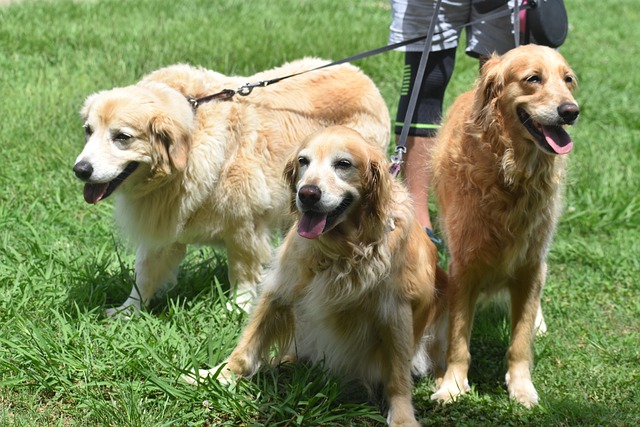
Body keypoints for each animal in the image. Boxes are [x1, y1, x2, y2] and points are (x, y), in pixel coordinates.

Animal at [72, 58, 388, 316]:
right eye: (88, 131)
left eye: (122, 137)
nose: (80, 170)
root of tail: (359, 74)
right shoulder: (164, 223)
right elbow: (145, 272)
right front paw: (128, 311)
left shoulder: (244, 224)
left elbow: (242, 269)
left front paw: (238, 306)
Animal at [188, 127, 450, 427]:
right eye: (303, 161)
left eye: (344, 164)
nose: (307, 194)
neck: (342, 250)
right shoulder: (280, 288)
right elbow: (247, 346)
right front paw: (217, 375)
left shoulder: (395, 311)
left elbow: (397, 376)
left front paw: (403, 416)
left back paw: (447, 388)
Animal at [430, 45, 580, 410]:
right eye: (533, 79)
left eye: (568, 80)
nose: (571, 111)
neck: (511, 175)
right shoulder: (463, 267)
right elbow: (458, 339)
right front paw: (452, 386)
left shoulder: (530, 266)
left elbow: (520, 342)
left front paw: (522, 388)